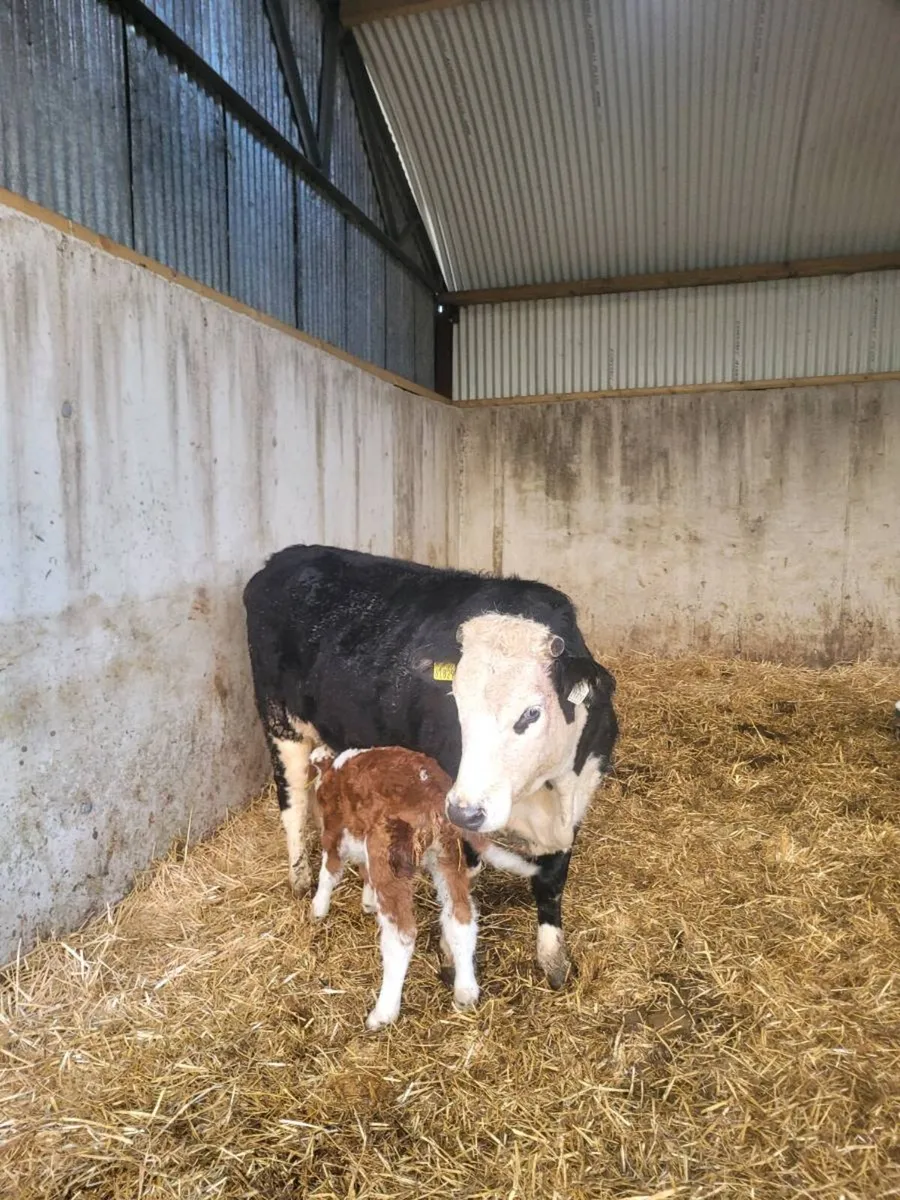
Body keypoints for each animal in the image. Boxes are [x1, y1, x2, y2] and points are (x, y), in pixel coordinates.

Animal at [243, 544, 619, 988]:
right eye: (455, 702)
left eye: (531, 713)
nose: (467, 811)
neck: (546, 788)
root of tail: (288, 555)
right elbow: (461, 880)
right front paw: (452, 956)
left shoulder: (574, 802)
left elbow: (552, 880)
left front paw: (553, 957)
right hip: (279, 720)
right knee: (293, 801)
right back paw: (300, 877)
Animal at [307, 744, 536, 1029]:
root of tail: (433, 791)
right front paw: (368, 901)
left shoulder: (334, 831)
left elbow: (329, 871)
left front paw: (318, 908)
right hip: (448, 857)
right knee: (461, 918)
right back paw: (466, 992)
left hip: (389, 857)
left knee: (401, 936)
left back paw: (383, 1013)